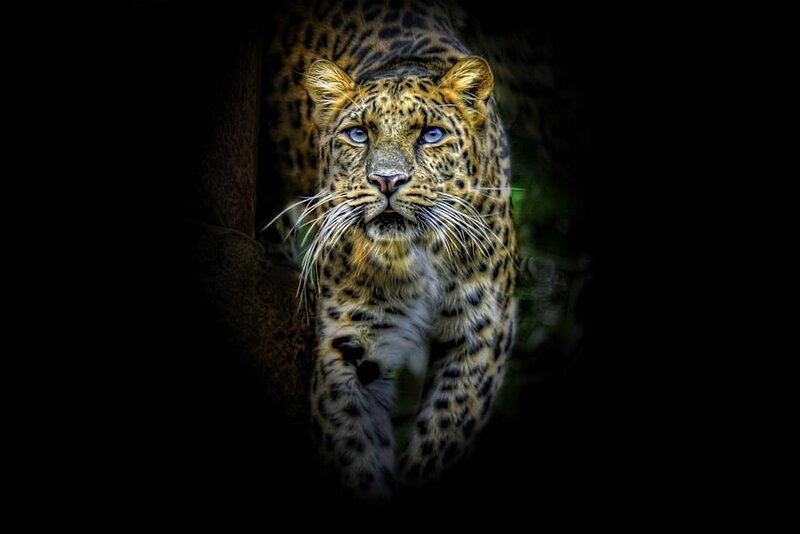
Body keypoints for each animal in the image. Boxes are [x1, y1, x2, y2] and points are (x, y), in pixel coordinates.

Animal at [263, 0, 517, 500]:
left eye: (431, 135)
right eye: (359, 134)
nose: (387, 180)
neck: (422, 257)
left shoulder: (481, 334)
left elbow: (444, 433)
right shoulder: (351, 343)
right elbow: (355, 446)